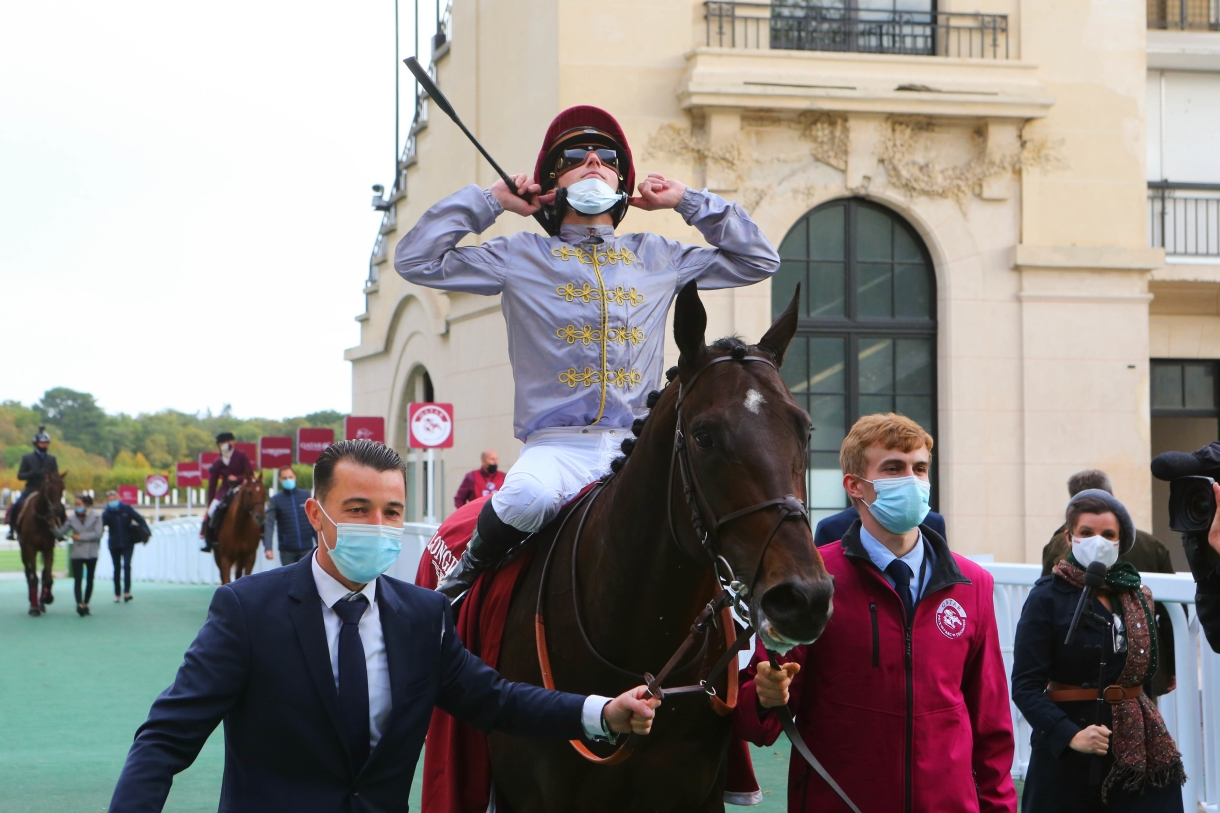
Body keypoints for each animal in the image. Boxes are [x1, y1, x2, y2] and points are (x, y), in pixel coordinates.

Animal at [17, 468, 67, 615]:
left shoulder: (48, 549)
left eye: (62, 487)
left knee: (43, 574)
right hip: (23, 551)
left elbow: (47, 577)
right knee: (28, 574)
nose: (57, 511)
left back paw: (42, 603)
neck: (40, 519)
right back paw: (32, 602)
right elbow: (34, 577)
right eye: (49, 489)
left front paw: (47, 598)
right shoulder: (30, 549)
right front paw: (34, 607)